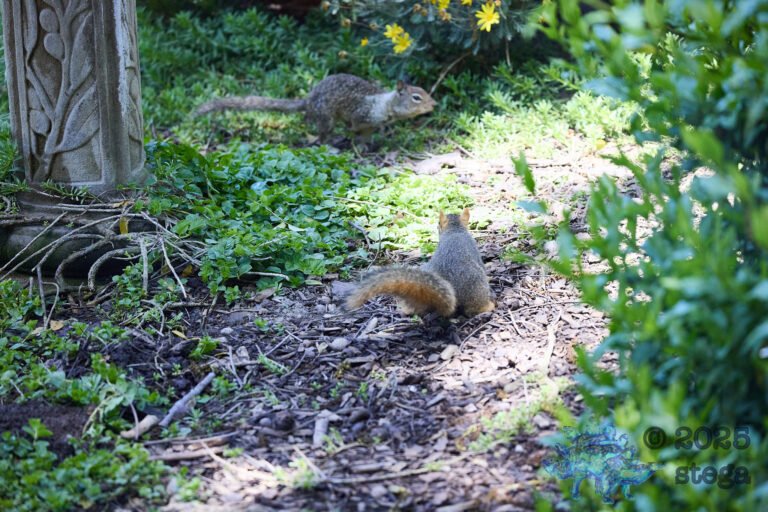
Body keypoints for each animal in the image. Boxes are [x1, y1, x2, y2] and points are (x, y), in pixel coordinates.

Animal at [194, 73, 436, 143]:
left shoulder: (372, 125)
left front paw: (369, 144)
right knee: (321, 134)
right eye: (416, 97)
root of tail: (309, 100)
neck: (385, 104)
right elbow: (356, 126)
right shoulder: (361, 115)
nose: (434, 104)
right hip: (326, 118)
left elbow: (367, 135)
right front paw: (355, 137)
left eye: (424, 91)